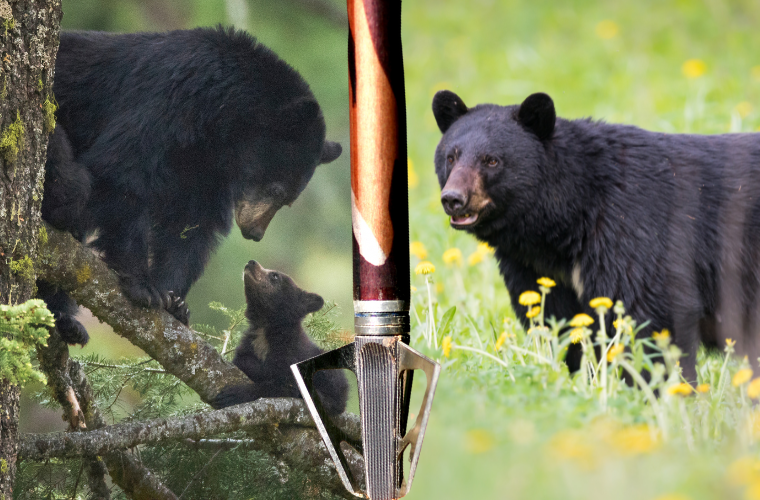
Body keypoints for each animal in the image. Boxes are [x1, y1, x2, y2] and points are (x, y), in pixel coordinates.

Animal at [40, 27, 342, 345]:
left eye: (287, 202)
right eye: (276, 190)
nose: (255, 233)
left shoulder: (206, 166)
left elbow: (192, 224)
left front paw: (174, 302)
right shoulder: (167, 100)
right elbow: (124, 169)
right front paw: (143, 285)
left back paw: (65, 322)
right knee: (73, 186)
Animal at [210, 260, 349, 415]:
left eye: (275, 276)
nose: (251, 262)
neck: (265, 328)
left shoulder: (291, 354)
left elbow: (283, 385)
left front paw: (234, 394)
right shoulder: (250, 344)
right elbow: (242, 360)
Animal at [432, 89, 760, 383]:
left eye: (492, 160)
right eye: (451, 157)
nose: (453, 199)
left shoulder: (636, 230)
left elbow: (651, 315)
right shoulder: (536, 269)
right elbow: (559, 322)